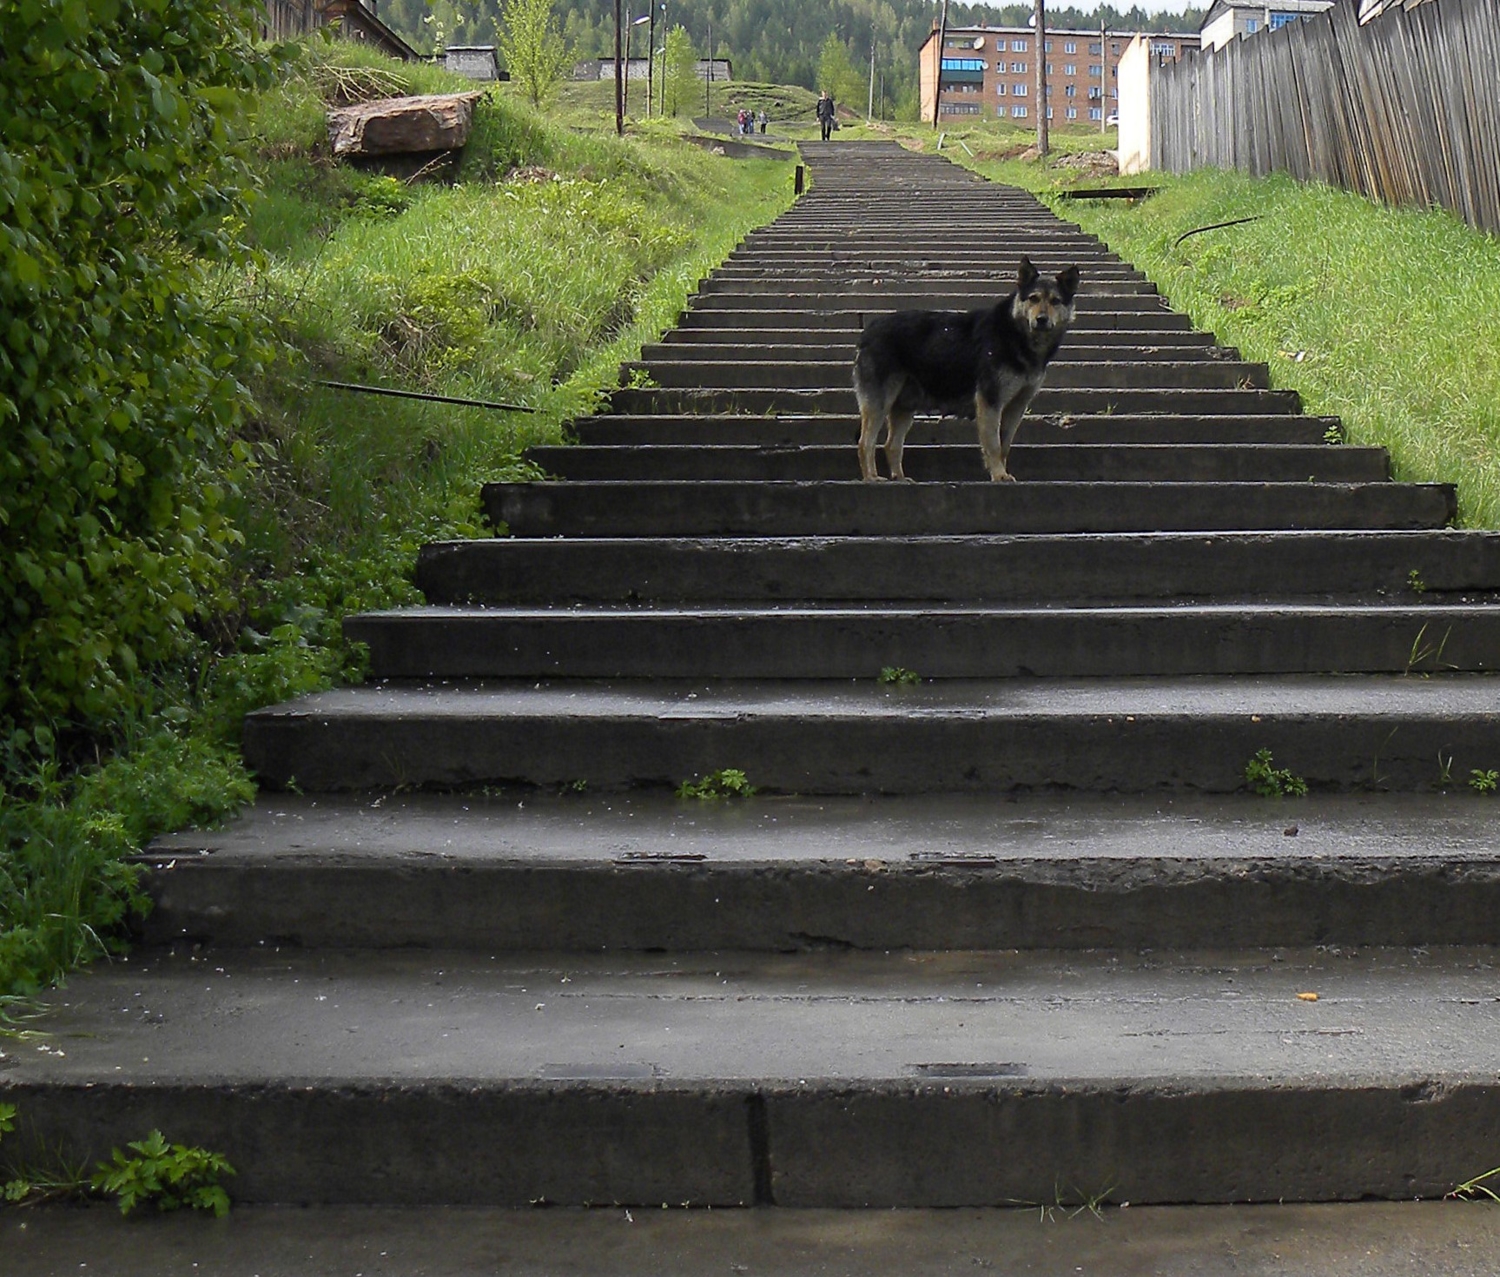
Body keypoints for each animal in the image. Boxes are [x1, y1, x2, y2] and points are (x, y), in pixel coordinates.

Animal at [858, 256, 1080, 483]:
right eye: (1033, 298)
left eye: (1055, 301)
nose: (1041, 319)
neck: (1017, 335)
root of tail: (870, 329)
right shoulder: (990, 400)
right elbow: (993, 444)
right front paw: (999, 474)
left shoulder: (1016, 407)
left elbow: (1005, 445)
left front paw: (1002, 471)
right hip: (880, 401)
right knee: (865, 442)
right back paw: (871, 477)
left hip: (905, 404)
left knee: (891, 444)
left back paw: (900, 478)